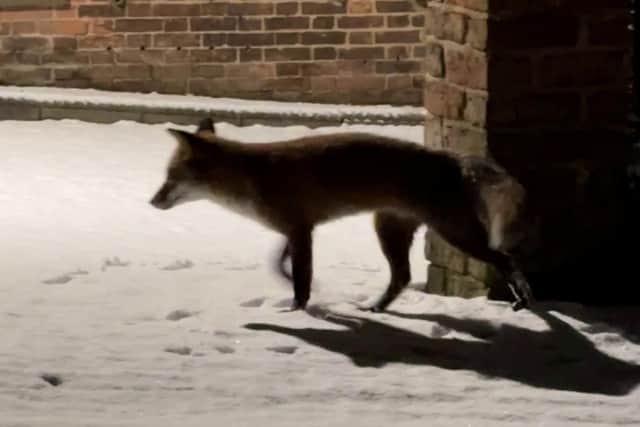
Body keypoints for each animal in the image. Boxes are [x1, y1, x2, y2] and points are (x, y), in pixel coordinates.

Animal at [149, 118, 536, 312]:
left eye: (170, 177)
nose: (152, 202)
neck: (253, 178)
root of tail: (451, 157)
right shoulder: (297, 230)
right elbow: (279, 265)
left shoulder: (299, 228)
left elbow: (302, 279)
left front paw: (296, 310)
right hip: (389, 230)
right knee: (402, 276)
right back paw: (376, 308)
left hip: (454, 233)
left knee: (504, 257)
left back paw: (523, 297)